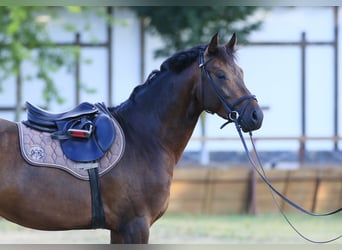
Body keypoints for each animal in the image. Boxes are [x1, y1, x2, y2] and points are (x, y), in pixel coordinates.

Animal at [0, 33, 264, 242]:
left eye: (240, 72)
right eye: (220, 75)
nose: (255, 116)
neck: (142, 139)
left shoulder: (120, 229)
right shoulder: (135, 226)